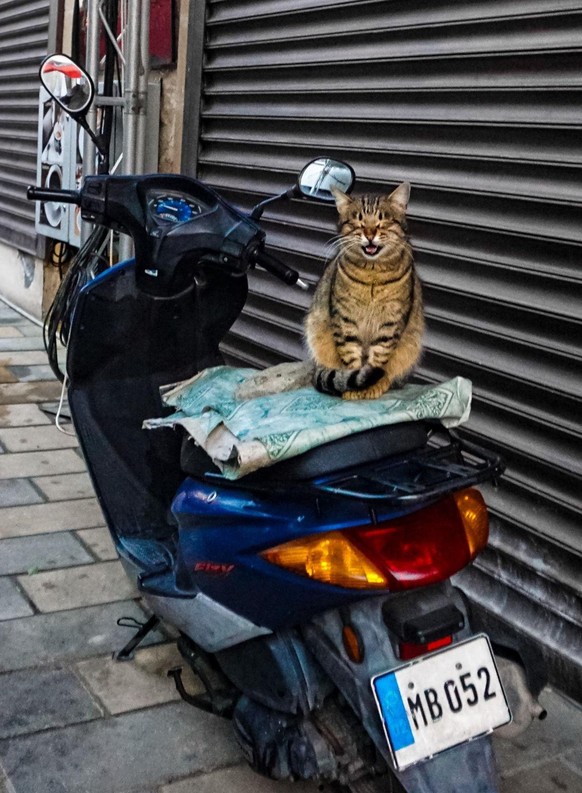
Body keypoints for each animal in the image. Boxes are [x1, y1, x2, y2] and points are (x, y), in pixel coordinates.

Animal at [306, 183, 424, 400]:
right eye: (357, 222)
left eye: (382, 221)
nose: (369, 234)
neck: (372, 275)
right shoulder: (345, 319)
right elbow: (350, 356)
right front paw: (354, 387)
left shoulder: (390, 322)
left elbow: (379, 356)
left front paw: (371, 385)